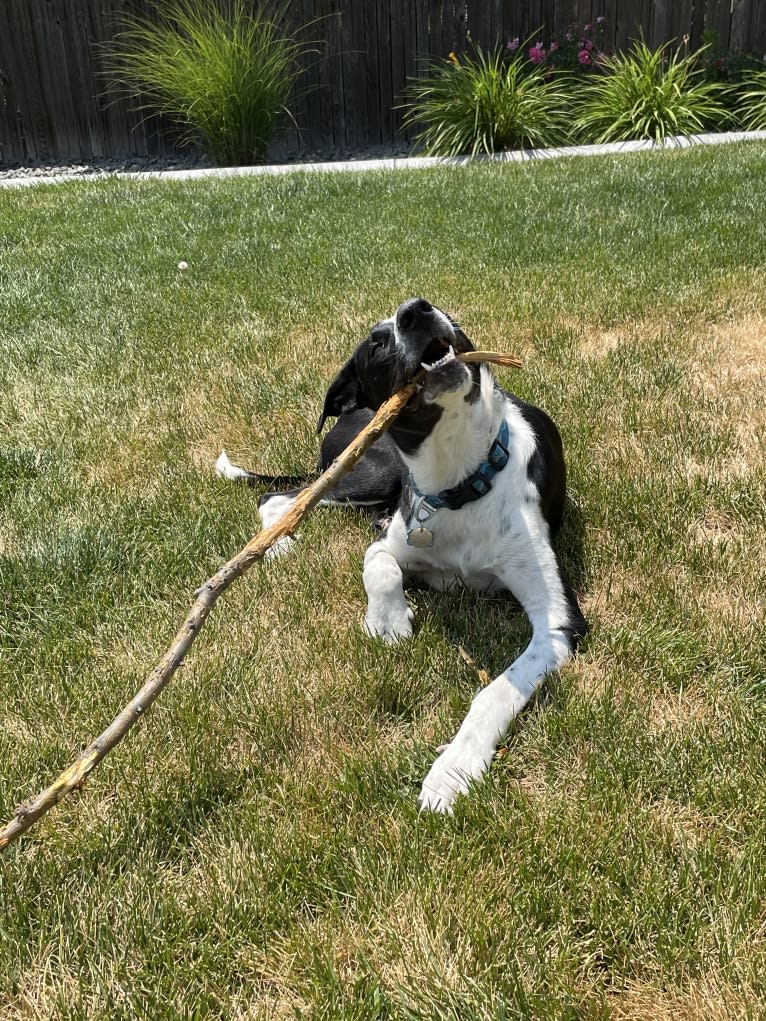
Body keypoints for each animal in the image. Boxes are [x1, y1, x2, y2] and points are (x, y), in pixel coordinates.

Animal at [218, 298, 592, 812]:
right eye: (377, 343)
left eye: (442, 307)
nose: (416, 310)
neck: (460, 481)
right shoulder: (396, 534)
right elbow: (377, 563)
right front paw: (388, 620)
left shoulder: (557, 620)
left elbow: (495, 692)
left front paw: (453, 769)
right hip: (369, 472)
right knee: (281, 497)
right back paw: (280, 544)